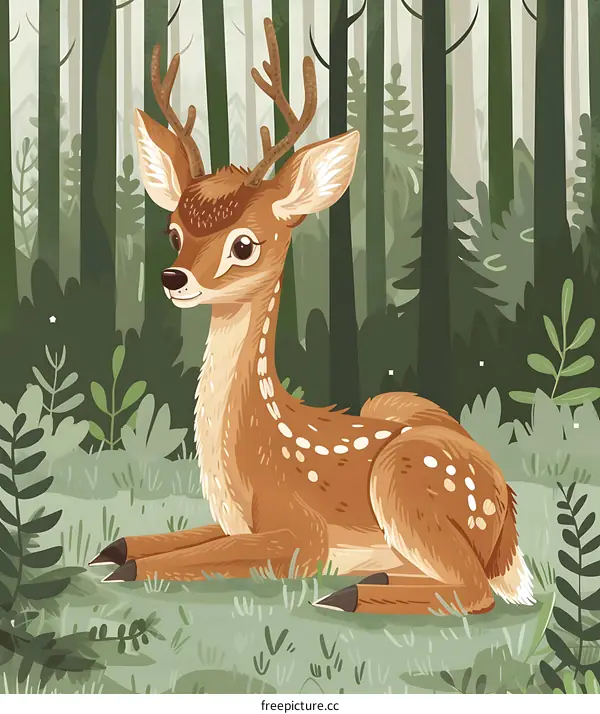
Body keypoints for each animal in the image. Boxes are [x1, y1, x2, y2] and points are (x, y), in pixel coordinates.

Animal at [89, 18, 535, 616]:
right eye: (174, 232)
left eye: (245, 244)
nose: (173, 278)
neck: (249, 464)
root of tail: (506, 516)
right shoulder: (233, 525)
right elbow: (159, 540)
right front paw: (111, 548)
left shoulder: (302, 536)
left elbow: (192, 557)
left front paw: (127, 566)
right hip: (396, 407)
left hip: (406, 480)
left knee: (474, 590)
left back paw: (349, 593)